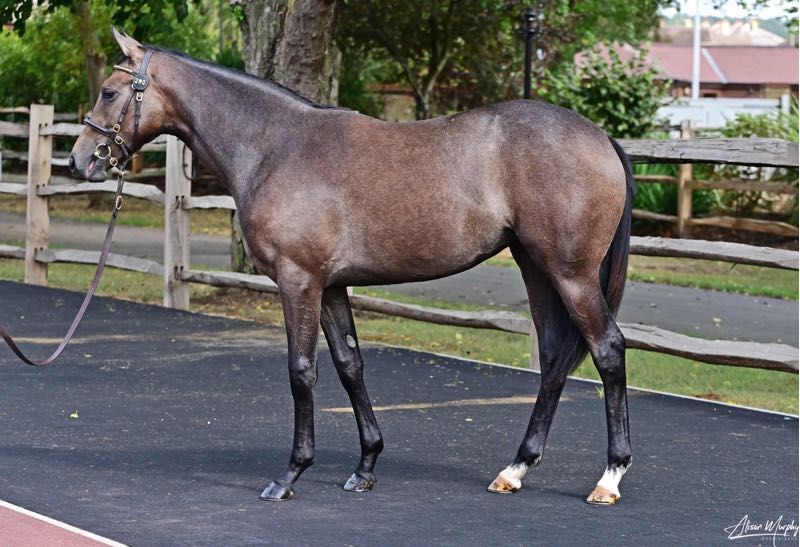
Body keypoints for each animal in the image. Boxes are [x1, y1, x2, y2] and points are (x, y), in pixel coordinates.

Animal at [69, 29, 635, 505]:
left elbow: (302, 371)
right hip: (536, 269)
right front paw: (365, 467)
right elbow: (349, 366)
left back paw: (609, 477)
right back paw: (515, 469)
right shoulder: (332, 287)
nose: (80, 161)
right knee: (554, 358)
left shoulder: (299, 281)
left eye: (110, 92)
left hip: (570, 274)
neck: (274, 146)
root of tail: (600, 137)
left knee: (607, 349)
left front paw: (291, 474)